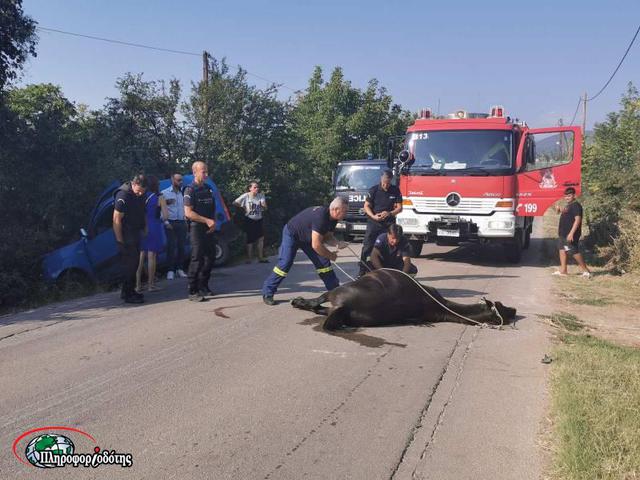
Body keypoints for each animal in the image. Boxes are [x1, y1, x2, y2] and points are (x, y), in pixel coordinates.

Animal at [292, 268, 516, 332]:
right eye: (500, 306)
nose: (514, 310)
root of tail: (343, 304)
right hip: (335, 293)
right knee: (318, 301)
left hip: (336, 303)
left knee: (318, 306)